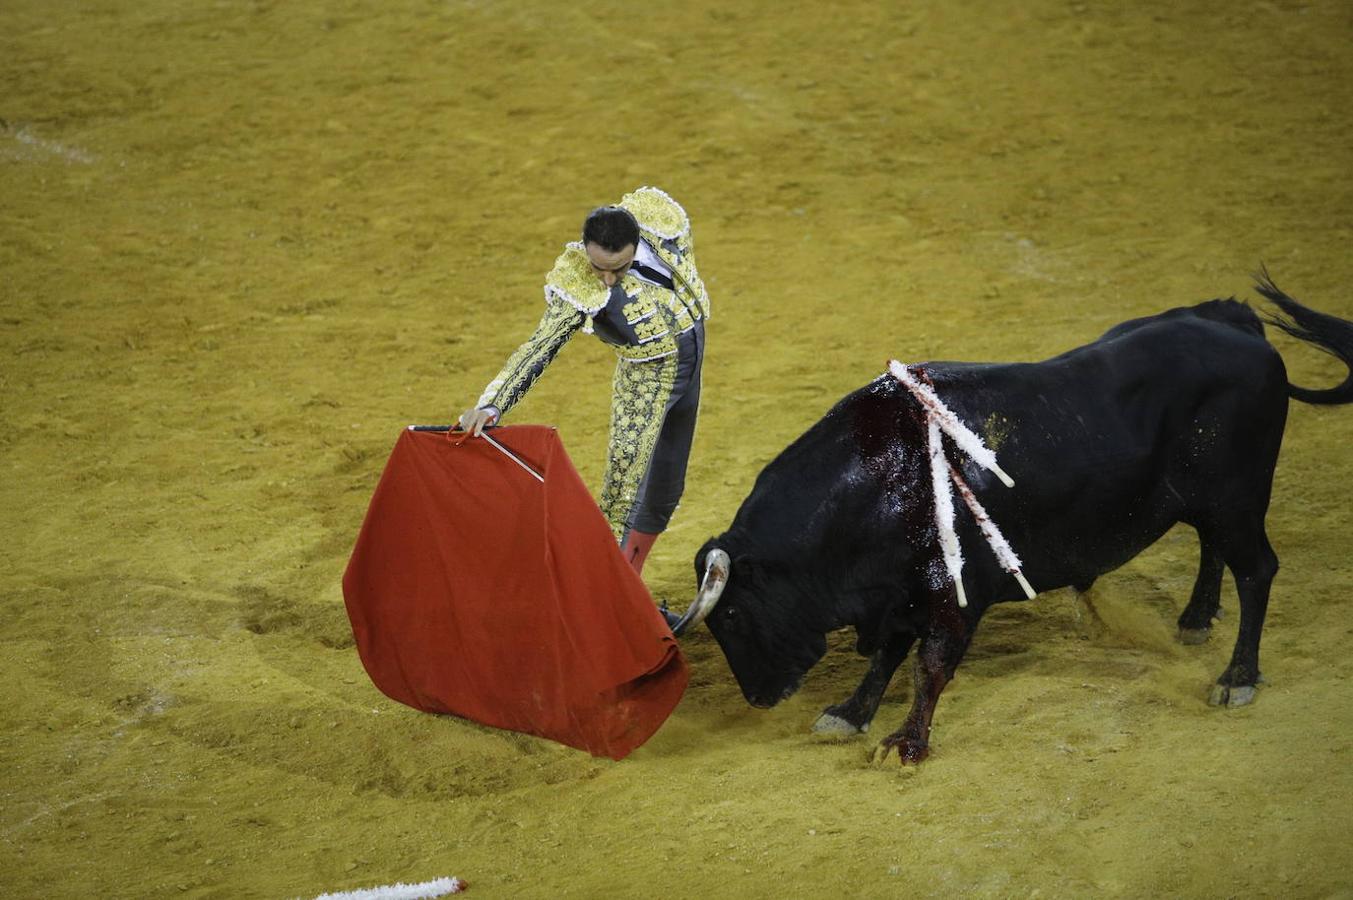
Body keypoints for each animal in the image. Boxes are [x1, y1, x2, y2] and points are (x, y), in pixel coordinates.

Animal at [668, 272, 1353, 757]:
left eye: (731, 614)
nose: (759, 697)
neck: (880, 480)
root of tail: (1238, 324)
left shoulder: (954, 595)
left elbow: (928, 664)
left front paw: (907, 744)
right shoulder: (898, 595)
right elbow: (887, 656)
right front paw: (851, 713)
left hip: (1238, 499)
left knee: (1257, 570)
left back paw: (1237, 676)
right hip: (1213, 503)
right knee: (1216, 551)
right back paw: (1193, 619)